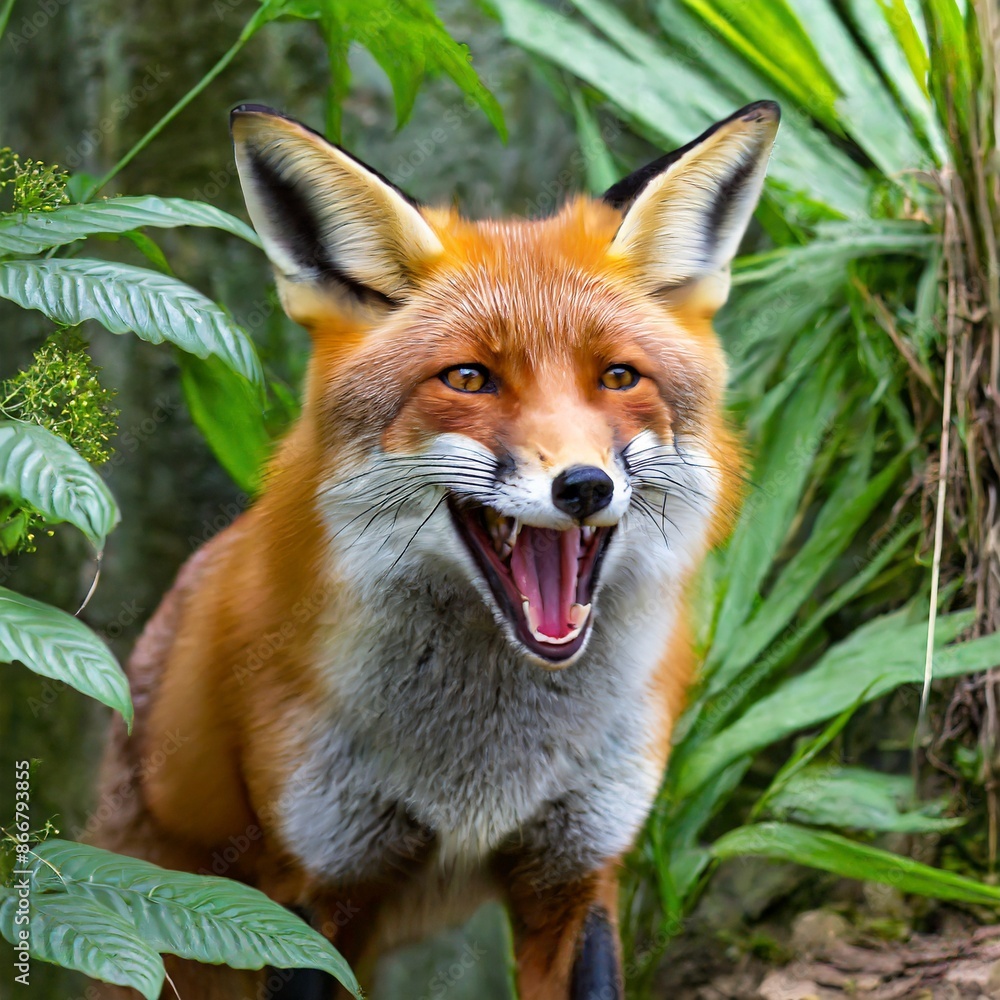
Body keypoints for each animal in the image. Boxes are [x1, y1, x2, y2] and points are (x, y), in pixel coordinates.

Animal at [91, 99, 779, 999]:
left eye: (619, 378)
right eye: (469, 379)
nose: (584, 486)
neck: (483, 771)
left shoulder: (576, 867)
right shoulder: (311, 884)